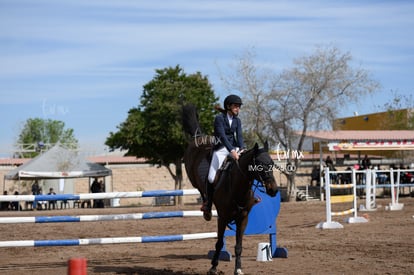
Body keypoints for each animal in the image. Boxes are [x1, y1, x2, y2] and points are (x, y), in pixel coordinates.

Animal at [182, 105, 276, 275]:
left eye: (271, 163)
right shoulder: (223, 217)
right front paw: (213, 267)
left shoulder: (243, 218)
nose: (274, 190)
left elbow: (239, 246)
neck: (238, 187)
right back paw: (206, 211)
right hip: (193, 176)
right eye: (259, 165)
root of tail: (199, 137)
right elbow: (219, 243)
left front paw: (238, 269)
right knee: (202, 190)